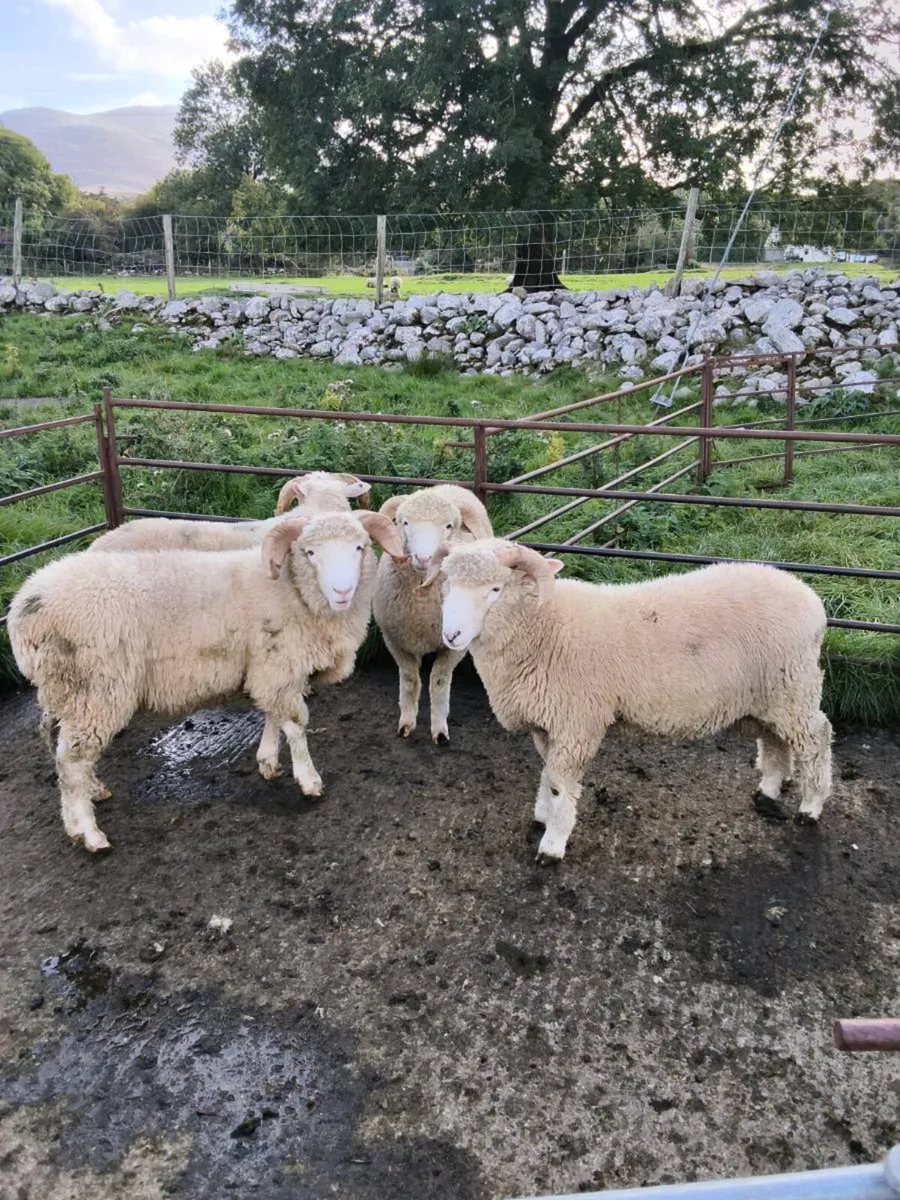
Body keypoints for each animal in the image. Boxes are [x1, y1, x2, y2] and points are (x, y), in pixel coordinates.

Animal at [8, 511, 405, 853]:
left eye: (359, 547)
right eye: (310, 552)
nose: (342, 592)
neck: (292, 590)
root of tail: (23, 606)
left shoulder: (270, 668)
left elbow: (272, 714)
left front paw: (268, 761)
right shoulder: (279, 663)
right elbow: (294, 722)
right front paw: (309, 780)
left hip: (66, 691)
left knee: (62, 747)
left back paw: (94, 791)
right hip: (95, 688)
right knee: (73, 760)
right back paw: (87, 832)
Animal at [372, 485, 493, 741]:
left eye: (448, 526)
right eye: (405, 522)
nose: (424, 558)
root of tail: (443, 487)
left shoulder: (455, 647)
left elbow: (438, 681)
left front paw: (439, 730)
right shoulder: (394, 639)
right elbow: (409, 680)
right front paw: (406, 724)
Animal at [423, 541, 832, 860]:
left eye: (495, 589)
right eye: (447, 584)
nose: (451, 635)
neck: (543, 627)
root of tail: (809, 597)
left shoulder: (576, 723)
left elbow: (559, 782)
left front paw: (553, 842)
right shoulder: (546, 722)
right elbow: (547, 773)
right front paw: (542, 815)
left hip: (794, 686)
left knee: (816, 739)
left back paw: (811, 806)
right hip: (770, 695)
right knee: (776, 740)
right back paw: (768, 793)